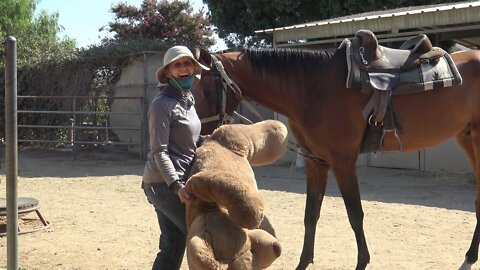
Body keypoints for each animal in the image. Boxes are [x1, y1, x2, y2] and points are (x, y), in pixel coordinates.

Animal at [191, 44, 480, 270]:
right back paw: (468, 259)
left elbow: (355, 214)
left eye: (206, 91)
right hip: (467, 138)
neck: (313, 89)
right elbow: (310, 214)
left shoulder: (342, 162)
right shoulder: (315, 162)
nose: (201, 138)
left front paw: (362, 262)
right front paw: (303, 263)